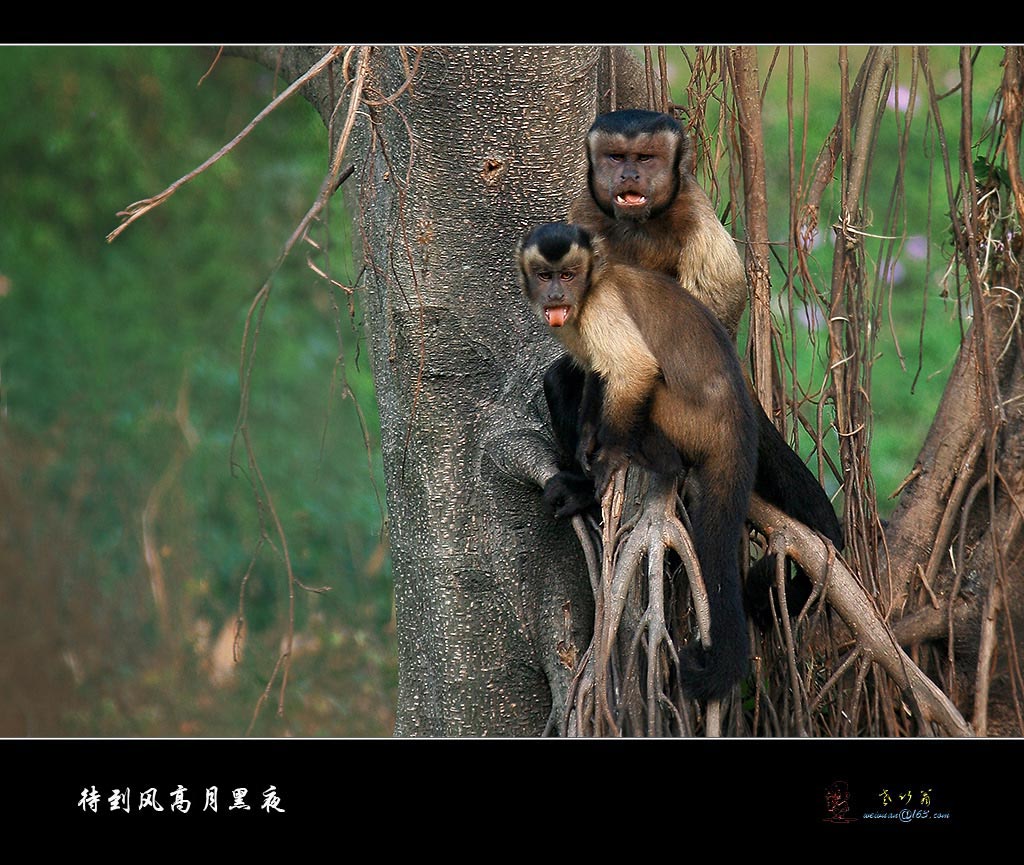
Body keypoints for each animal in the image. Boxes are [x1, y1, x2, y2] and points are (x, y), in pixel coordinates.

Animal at [520, 219, 753, 700]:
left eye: (568, 274)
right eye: (544, 275)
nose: (556, 295)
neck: (590, 287)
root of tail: (736, 423)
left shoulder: (600, 308)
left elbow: (631, 372)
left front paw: (606, 460)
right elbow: (595, 374)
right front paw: (587, 447)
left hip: (693, 421)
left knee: (652, 389)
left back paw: (658, 462)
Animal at [544, 107, 839, 622]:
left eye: (646, 158)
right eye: (616, 157)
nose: (629, 175)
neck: (640, 224)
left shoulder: (700, 225)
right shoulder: (586, 215)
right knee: (564, 380)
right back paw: (585, 483)